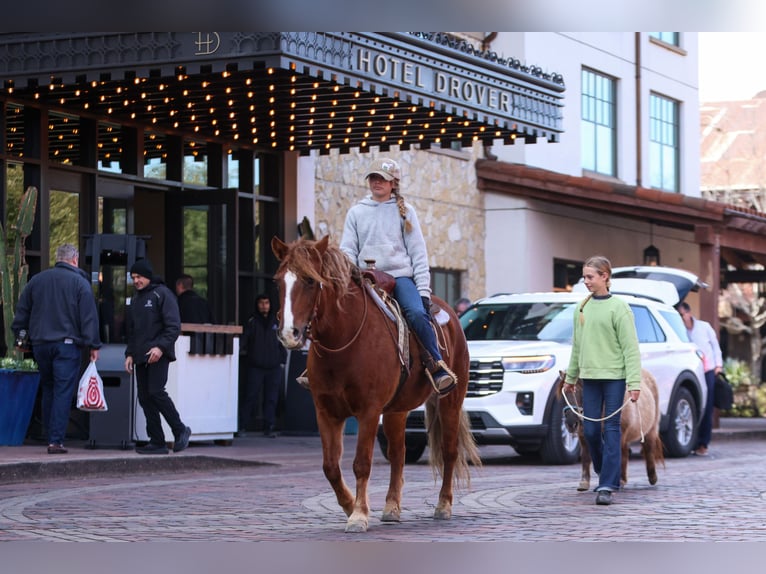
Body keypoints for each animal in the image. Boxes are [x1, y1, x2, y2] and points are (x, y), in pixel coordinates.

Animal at [272, 236, 480, 532]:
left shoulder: (368, 411)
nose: (289, 333)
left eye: (310, 280)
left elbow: (362, 462)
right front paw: (350, 506)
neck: (343, 340)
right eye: (278, 281)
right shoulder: (325, 411)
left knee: (449, 451)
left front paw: (359, 514)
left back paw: (443, 505)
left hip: (450, 399)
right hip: (397, 410)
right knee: (398, 454)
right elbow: (330, 466)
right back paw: (392, 507)